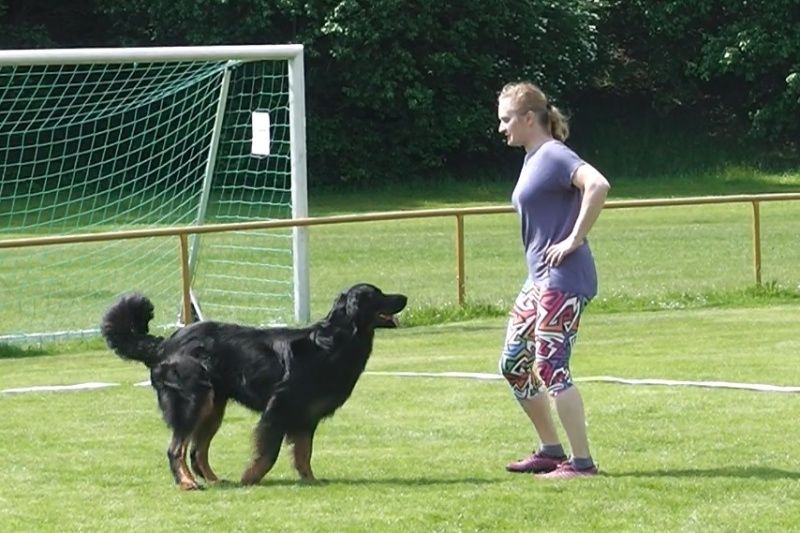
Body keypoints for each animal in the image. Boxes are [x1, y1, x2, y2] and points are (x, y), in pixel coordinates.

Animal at [101, 284, 406, 488]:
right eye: (378, 295)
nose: (404, 297)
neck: (333, 342)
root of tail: (165, 344)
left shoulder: (306, 417)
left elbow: (304, 454)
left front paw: (310, 479)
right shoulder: (278, 409)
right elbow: (268, 453)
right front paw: (250, 478)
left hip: (213, 406)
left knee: (198, 451)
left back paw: (215, 481)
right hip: (193, 402)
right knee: (176, 449)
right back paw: (187, 483)